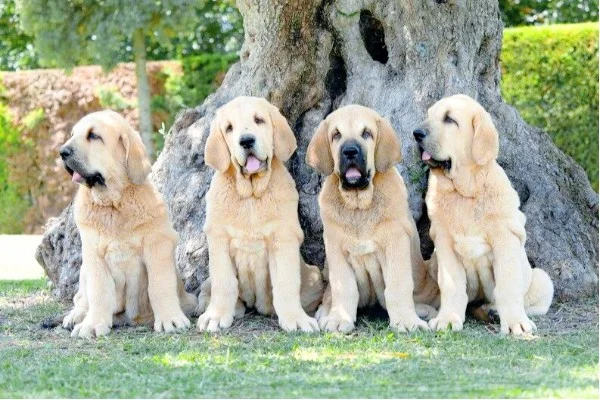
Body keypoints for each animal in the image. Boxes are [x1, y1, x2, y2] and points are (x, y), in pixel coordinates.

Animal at [56, 109, 197, 338]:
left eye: (93, 135)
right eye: (72, 134)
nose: (62, 152)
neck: (114, 204)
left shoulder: (158, 246)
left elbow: (160, 285)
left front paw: (170, 319)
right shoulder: (94, 254)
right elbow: (99, 292)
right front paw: (93, 324)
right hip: (84, 269)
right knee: (82, 298)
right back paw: (76, 315)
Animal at [308, 104, 438, 332]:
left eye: (366, 133)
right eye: (336, 135)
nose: (350, 151)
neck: (359, 206)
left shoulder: (395, 243)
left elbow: (398, 287)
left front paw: (406, 321)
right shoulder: (336, 248)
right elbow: (344, 287)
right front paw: (339, 319)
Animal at [412, 95, 552, 336]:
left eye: (449, 119)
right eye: (429, 115)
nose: (416, 133)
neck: (464, 193)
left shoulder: (505, 239)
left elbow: (507, 285)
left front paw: (515, 323)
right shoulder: (444, 243)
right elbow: (452, 284)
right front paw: (448, 319)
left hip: (542, 280)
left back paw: (493, 311)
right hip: (432, 266)